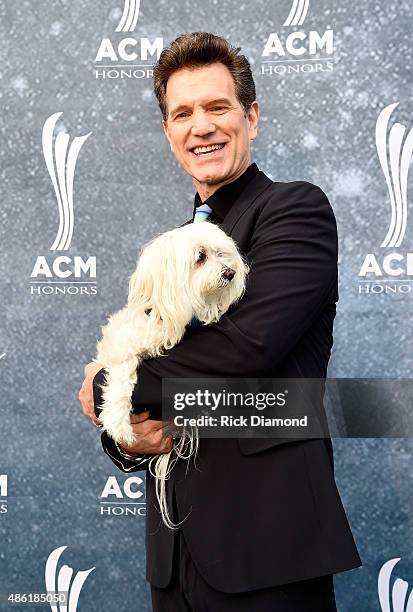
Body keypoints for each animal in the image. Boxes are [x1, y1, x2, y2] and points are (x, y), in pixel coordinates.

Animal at [95, 222, 248, 528]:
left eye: (222, 253)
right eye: (200, 257)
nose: (230, 272)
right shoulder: (122, 346)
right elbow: (119, 380)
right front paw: (118, 423)